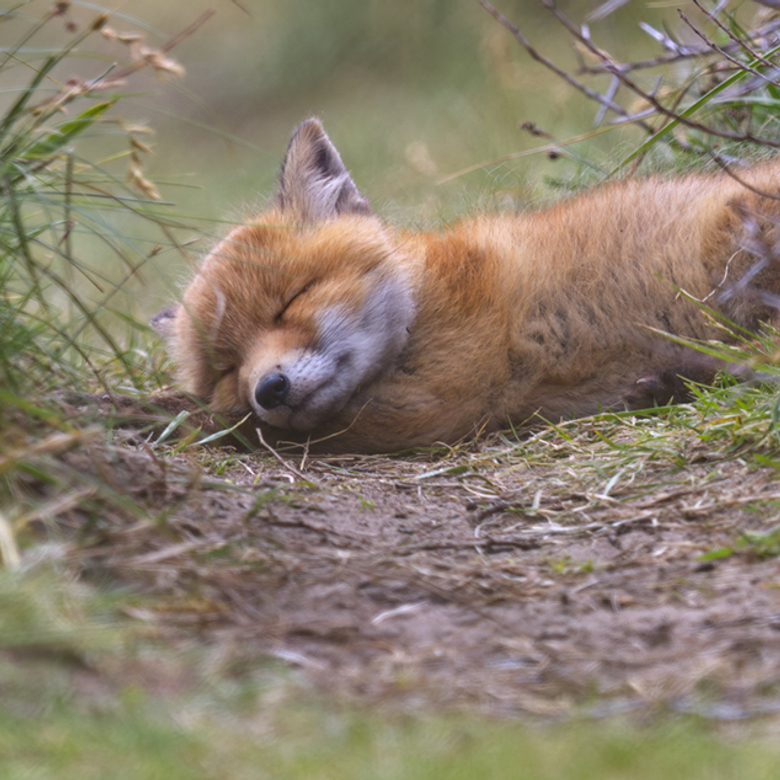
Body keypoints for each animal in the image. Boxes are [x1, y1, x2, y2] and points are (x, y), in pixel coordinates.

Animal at [155, 119, 780, 454]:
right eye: (226, 368)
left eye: (291, 301)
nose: (269, 389)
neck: (424, 304)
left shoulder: (447, 400)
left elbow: (259, 430)